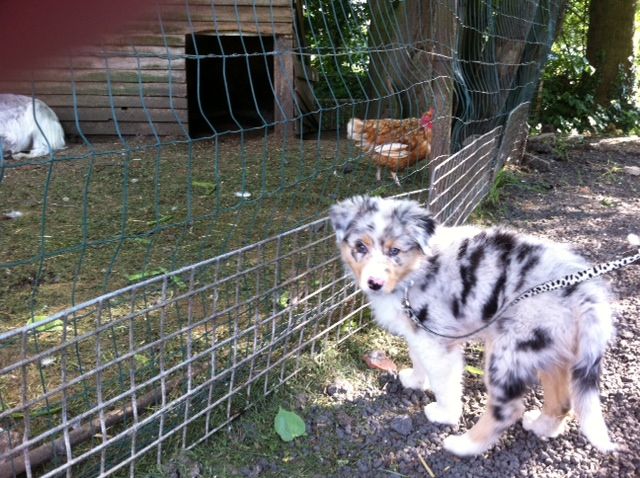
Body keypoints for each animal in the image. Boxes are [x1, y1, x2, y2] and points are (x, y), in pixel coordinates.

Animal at [330, 194, 616, 456]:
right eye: (360, 247)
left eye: (394, 251)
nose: (374, 283)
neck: (415, 272)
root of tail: (587, 293)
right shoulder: (420, 334)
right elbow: (417, 359)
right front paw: (415, 380)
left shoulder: (438, 344)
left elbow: (444, 384)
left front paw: (444, 414)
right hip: (548, 346)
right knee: (562, 402)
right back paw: (541, 427)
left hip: (509, 351)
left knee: (508, 410)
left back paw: (464, 445)